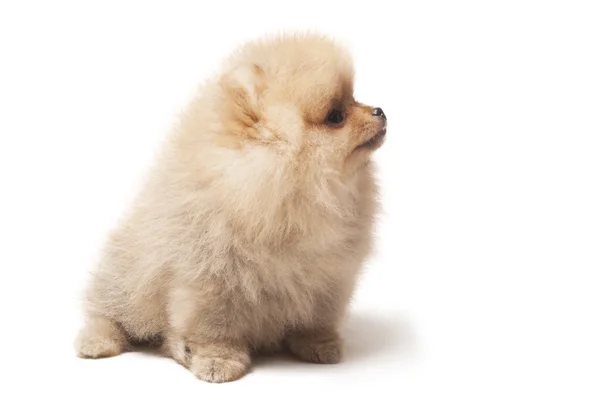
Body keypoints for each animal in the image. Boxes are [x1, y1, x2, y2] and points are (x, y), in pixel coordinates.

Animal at [76, 32, 384, 382]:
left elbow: (317, 317)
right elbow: (213, 326)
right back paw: (98, 341)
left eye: (354, 98)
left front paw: (319, 343)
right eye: (335, 116)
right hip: (126, 278)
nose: (380, 111)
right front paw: (218, 360)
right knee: (108, 312)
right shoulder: (211, 276)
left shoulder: (330, 275)